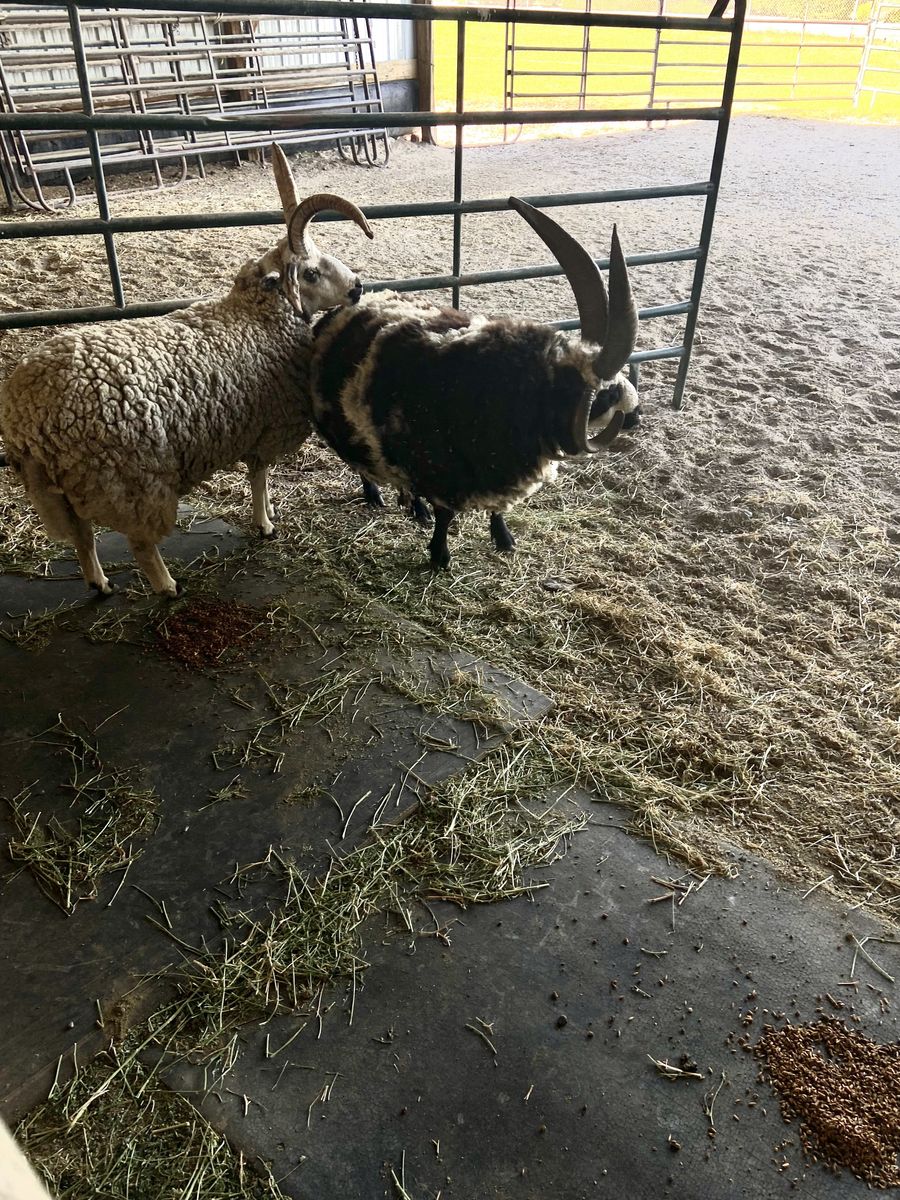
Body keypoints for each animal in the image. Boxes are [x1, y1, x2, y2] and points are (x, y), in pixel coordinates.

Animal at [0, 146, 373, 598]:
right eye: (312, 272)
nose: (356, 286)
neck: (257, 317)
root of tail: (29, 417)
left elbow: (257, 475)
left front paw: (265, 516)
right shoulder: (266, 426)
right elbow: (260, 476)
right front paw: (264, 523)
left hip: (60, 489)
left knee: (82, 535)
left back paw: (99, 582)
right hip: (131, 480)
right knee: (140, 542)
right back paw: (166, 586)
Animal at [309, 197, 640, 570]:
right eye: (603, 391)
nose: (635, 413)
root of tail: (336, 313)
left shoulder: (493, 467)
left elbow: (495, 510)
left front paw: (504, 539)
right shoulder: (444, 470)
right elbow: (446, 515)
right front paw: (440, 556)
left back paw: (414, 508)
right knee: (362, 465)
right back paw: (376, 495)